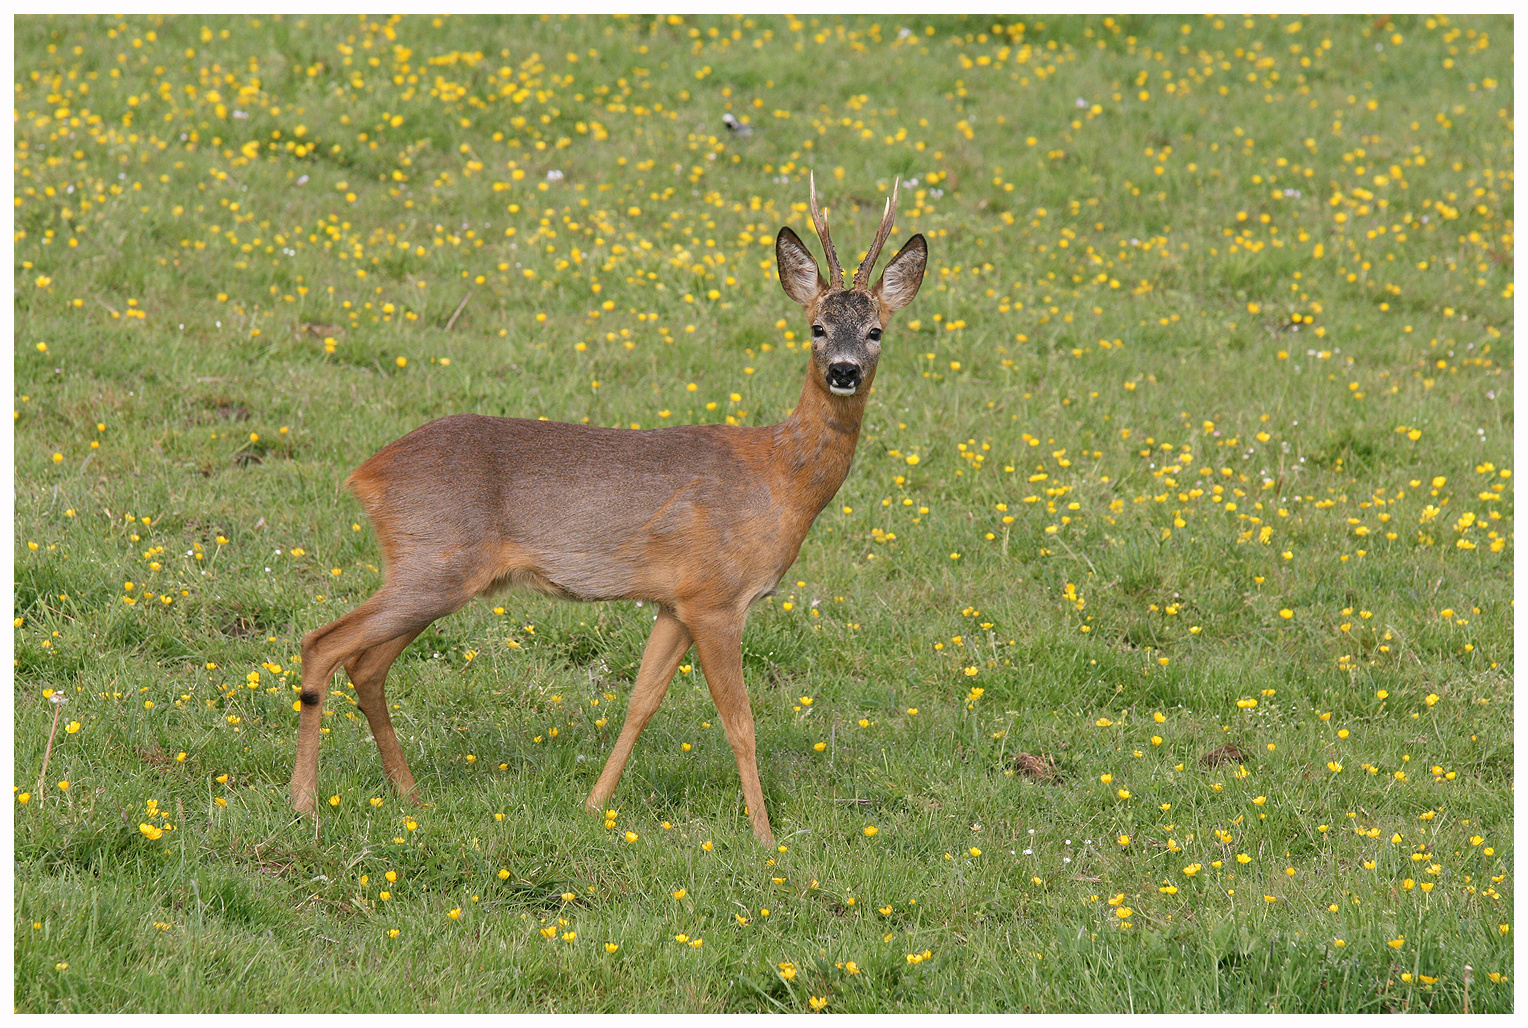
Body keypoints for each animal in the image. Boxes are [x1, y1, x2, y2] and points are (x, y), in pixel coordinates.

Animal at [291, 176, 922, 843]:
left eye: (877, 330)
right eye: (817, 327)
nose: (845, 371)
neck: (779, 478)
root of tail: (366, 473)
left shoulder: (675, 602)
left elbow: (641, 703)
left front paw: (595, 806)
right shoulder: (717, 598)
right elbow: (741, 725)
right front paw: (765, 837)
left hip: (432, 572)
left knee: (366, 665)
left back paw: (409, 796)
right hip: (432, 563)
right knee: (323, 643)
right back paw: (305, 801)